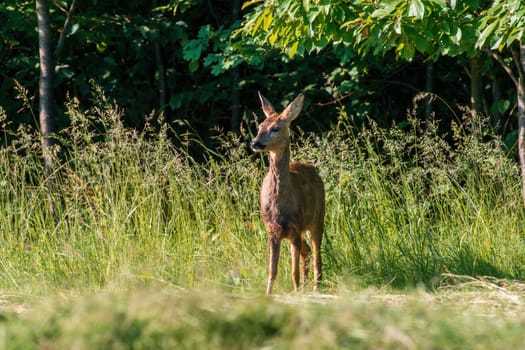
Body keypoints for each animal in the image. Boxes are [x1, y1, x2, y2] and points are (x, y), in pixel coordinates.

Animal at [250, 91, 324, 294]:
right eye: (260, 126)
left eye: (275, 128)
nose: (254, 142)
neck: (280, 206)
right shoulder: (272, 231)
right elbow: (272, 271)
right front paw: (268, 295)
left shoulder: (294, 228)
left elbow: (293, 272)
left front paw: (297, 293)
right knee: (307, 252)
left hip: (317, 218)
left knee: (317, 257)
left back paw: (315, 290)